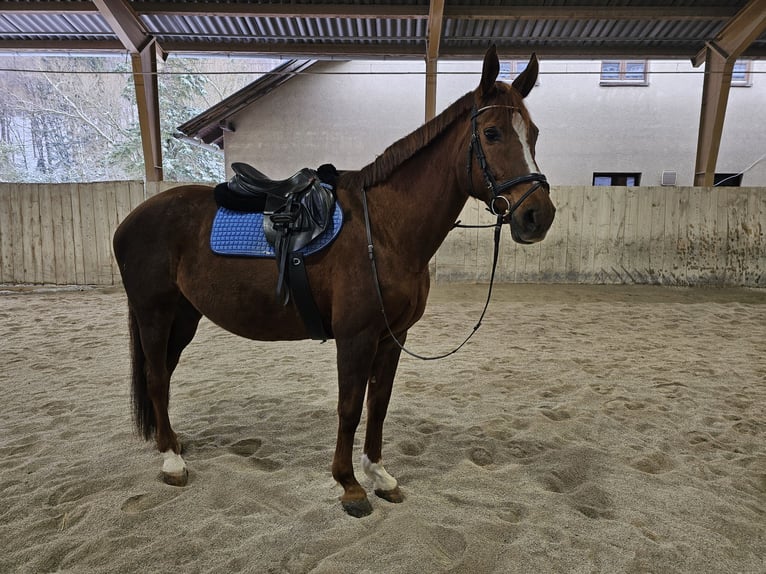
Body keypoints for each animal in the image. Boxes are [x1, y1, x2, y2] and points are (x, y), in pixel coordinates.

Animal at [114, 47, 556, 520]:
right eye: (491, 133)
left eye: (533, 134)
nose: (538, 216)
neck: (382, 230)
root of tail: (132, 220)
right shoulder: (355, 337)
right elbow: (349, 408)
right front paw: (349, 486)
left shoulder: (392, 336)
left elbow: (378, 405)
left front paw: (379, 474)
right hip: (154, 314)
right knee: (156, 377)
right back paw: (172, 461)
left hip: (184, 316)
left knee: (163, 374)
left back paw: (172, 443)